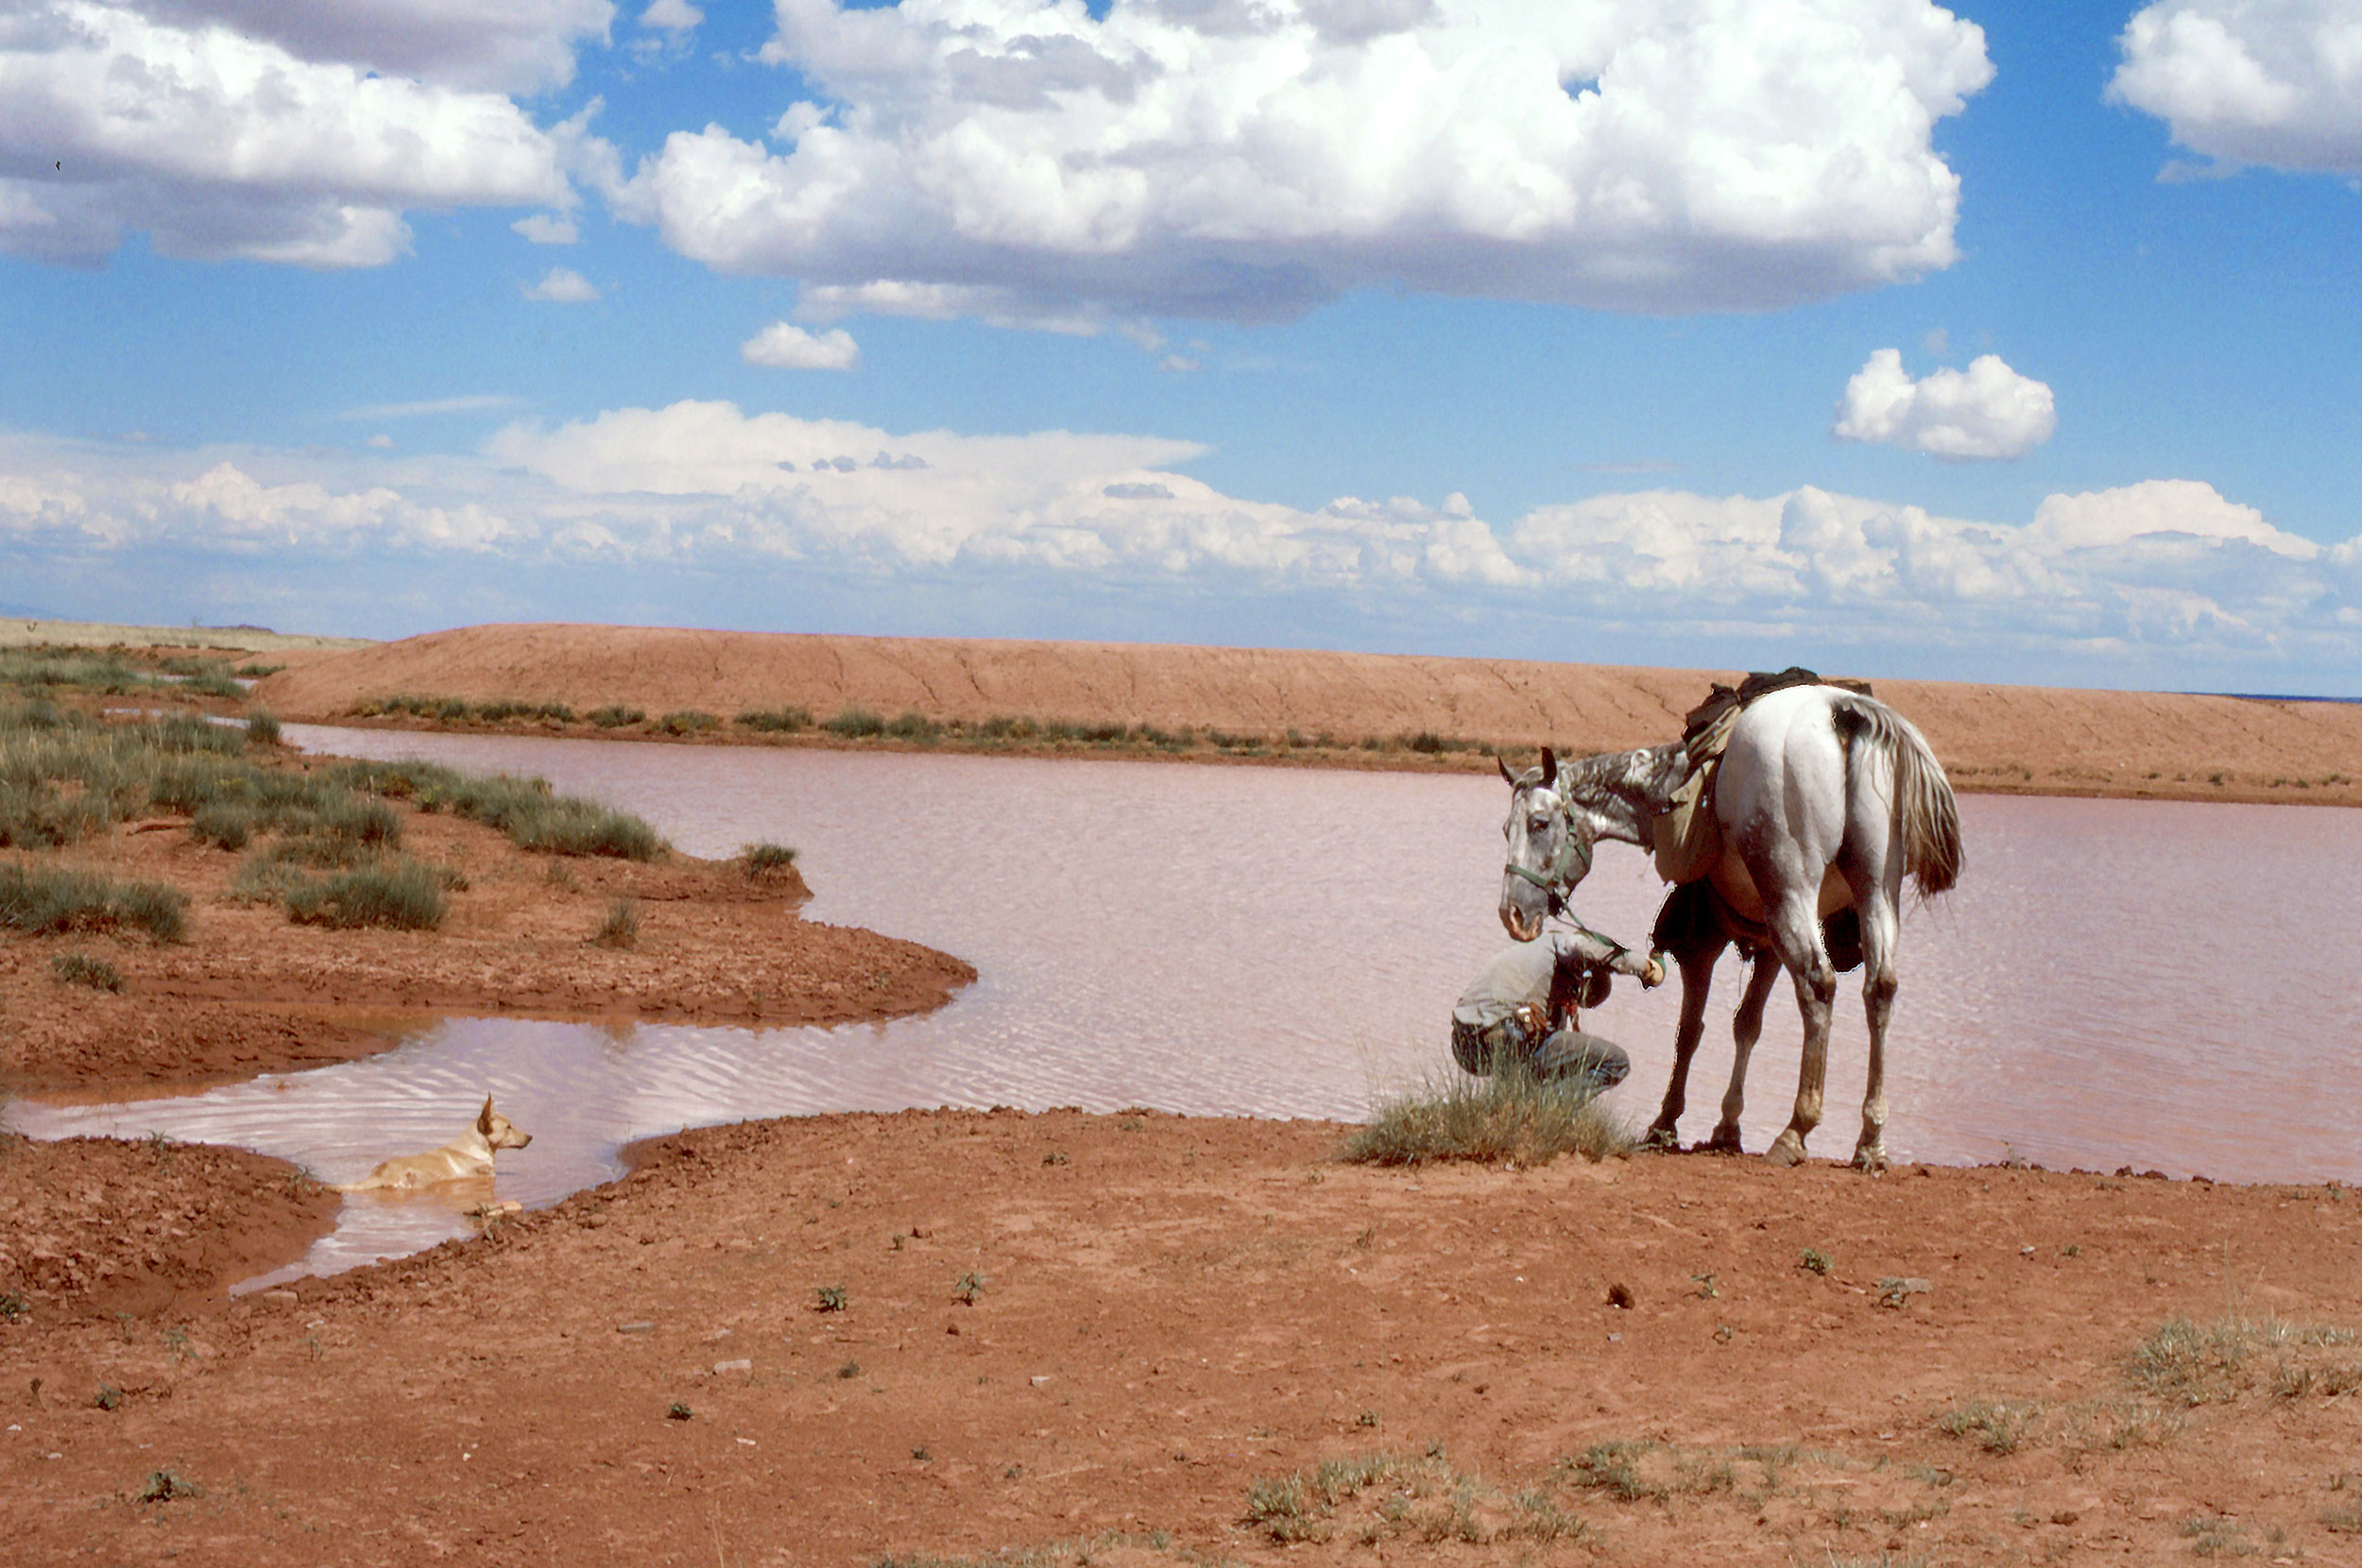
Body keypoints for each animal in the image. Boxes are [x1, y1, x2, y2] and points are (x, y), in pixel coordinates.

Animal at [1502, 685, 1965, 1162]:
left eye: (1539, 824)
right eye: (1505, 830)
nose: (1512, 914)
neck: (1667, 786)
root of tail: (1840, 711)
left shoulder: (1700, 944)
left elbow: (1690, 1030)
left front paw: (1666, 1123)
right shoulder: (1768, 945)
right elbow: (1747, 1024)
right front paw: (1727, 1127)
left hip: (1792, 896)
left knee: (1819, 985)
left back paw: (1796, 1130)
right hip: (1875, 889)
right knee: (1880, 989)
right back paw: (1870, 1139)